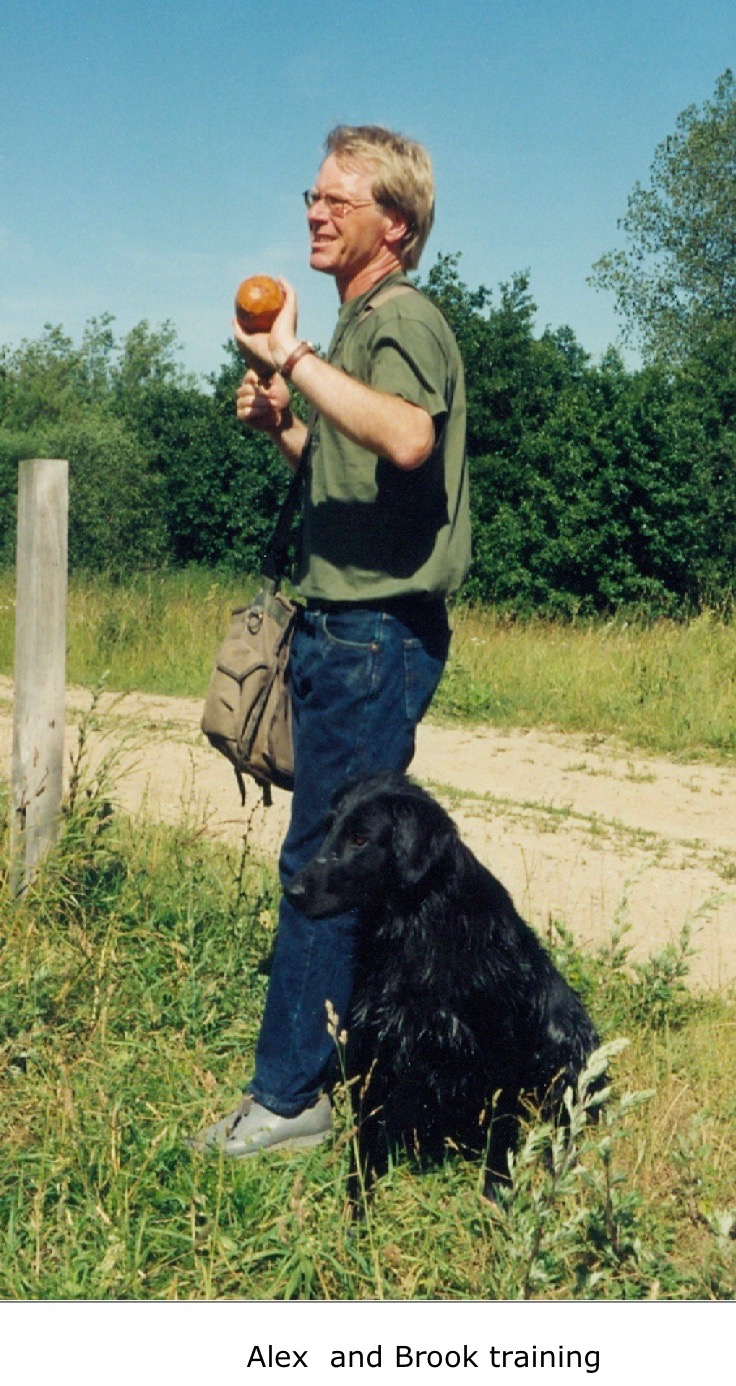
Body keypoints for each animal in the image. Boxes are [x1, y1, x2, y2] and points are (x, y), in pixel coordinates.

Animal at [285, 776, 601, 1208]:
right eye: (329, 827)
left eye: (361, 838)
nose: (292, 891)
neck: (417, 926)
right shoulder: (375, 1042)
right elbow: (365, 1138)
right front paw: (358, 1202)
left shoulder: (500, 1043)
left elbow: (501, 1128)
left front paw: (497, 1193)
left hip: (566, 1036)